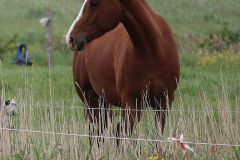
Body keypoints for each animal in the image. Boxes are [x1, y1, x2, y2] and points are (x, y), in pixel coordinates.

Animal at [65, 0, 180, 145]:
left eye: (94, 3)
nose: (70, 39)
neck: (152, 51)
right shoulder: (130, 103)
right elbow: (124, 136)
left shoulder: (164, 103)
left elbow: (157, 139)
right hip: (91, 101)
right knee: (95, 134)